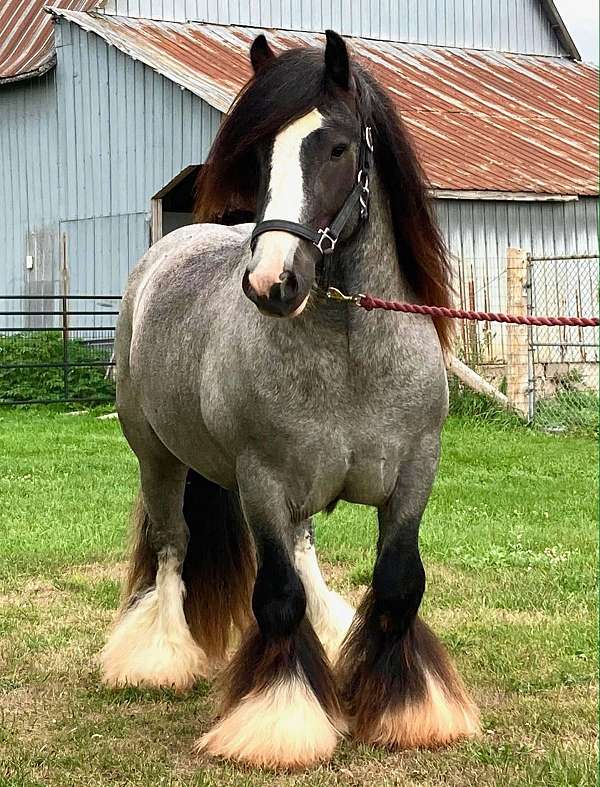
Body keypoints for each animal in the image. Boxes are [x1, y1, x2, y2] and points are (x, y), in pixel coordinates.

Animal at [101, 30, 480, 768]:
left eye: (336, 148)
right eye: (259, 154)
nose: (271, 281)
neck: (353, 355)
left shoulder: (415, 472)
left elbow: (398, 584)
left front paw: (406, 710)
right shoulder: (263, 481)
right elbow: (276, 598)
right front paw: (279, 722)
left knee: (303, 552)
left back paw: (329, 632)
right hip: (157, 457)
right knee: (172, 544)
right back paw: (159, 656)